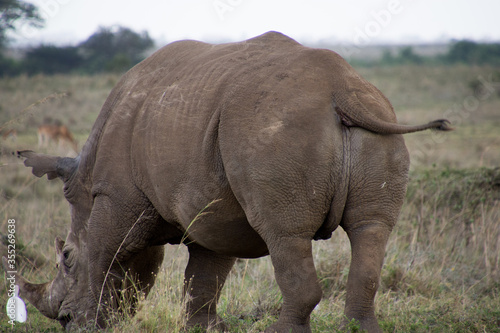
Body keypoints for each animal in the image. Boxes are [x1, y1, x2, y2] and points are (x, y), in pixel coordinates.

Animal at [3, 31, 452, 332]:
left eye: (65, 258)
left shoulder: (115, 195)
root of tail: (341, 89)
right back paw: (361, 327)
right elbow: (205, 273)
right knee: (370, 228)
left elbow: (103, 253)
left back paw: (281, 331)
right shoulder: (209, 204)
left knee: (285, 233)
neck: (86, 180)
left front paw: (88, 324)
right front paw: (202, 328)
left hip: (273, 129)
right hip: (368, 121)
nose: (62, 318)